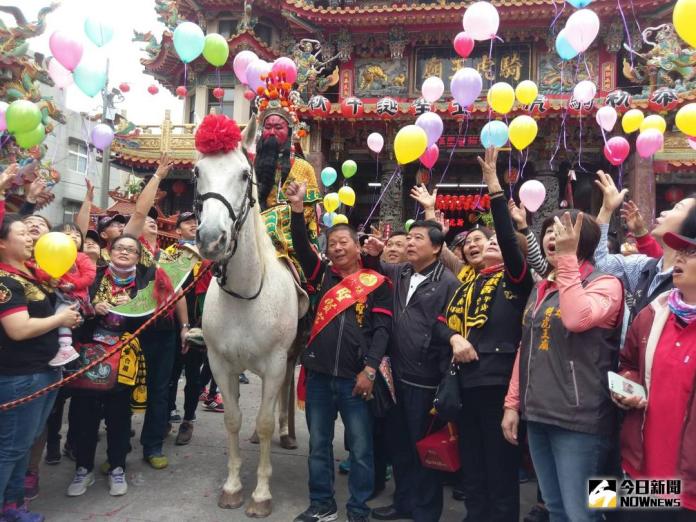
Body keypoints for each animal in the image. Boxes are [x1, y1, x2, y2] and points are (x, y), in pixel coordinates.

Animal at [193, 119, 308, 516]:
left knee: (284, 391)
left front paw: (260, 494)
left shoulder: (274, 361)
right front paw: (231, 487)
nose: (212, 238)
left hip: (289, 356)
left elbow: (265, 419)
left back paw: (287, 432)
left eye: (244, 174)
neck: (245, 295)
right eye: (197, 171)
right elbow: (233, 419)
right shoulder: (219, 363)